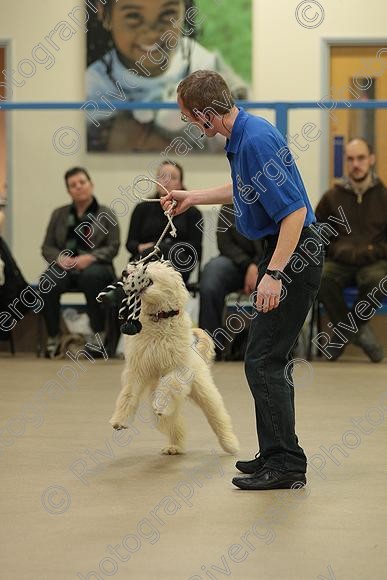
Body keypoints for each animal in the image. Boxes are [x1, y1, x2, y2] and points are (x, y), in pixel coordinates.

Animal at [109, 260, 241, 456]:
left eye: (146, 266)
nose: (124, 272)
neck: (159, 317)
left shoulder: (178, 369)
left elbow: (169, 384)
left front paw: (160, 403)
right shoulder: (137, 368)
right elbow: (128, 394)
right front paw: (119, 420)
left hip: (205, 392)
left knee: (218, 417)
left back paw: (230, 444)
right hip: (169, 412)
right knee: (175, 424)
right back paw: (174, 446)